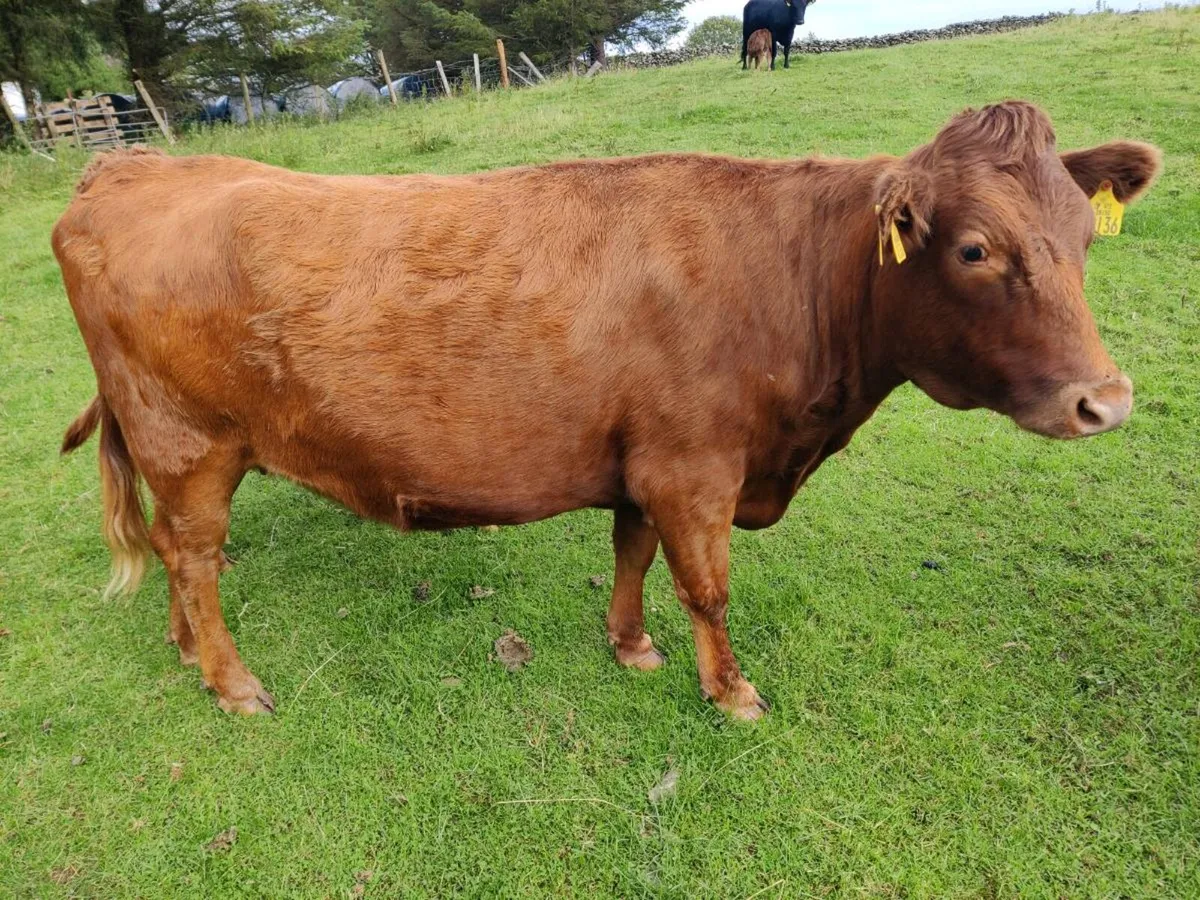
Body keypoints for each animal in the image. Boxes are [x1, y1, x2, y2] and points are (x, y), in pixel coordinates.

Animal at [53, 101, 1161, 720]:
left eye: (1083, 235)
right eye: (975, 249)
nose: (1103, 401)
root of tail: (126, 166)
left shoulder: (642, 457)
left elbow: (632, 550)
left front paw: (630, 647)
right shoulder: (694, 467)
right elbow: (708, 586)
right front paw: (732, 693)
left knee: (173, 554)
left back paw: (186, 651)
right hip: (189, 442)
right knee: (196, 557)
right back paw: (232, 682)